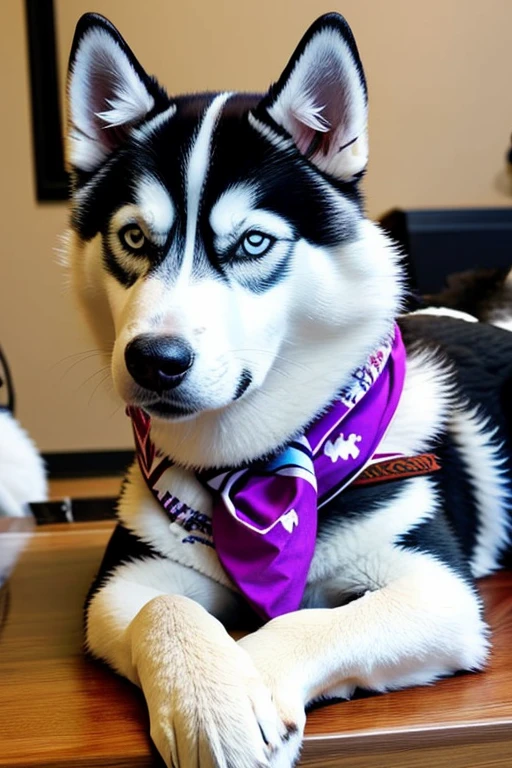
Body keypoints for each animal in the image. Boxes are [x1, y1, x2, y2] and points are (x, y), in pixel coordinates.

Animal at [66, 12, 512, 768]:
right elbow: (165, 607)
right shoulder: (124, 579)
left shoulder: (437, 588)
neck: (252, 470)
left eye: (252, 242)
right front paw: (208, 694)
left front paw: (242, 692)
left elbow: (305, 621)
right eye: (132, 237)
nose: (155, 361)